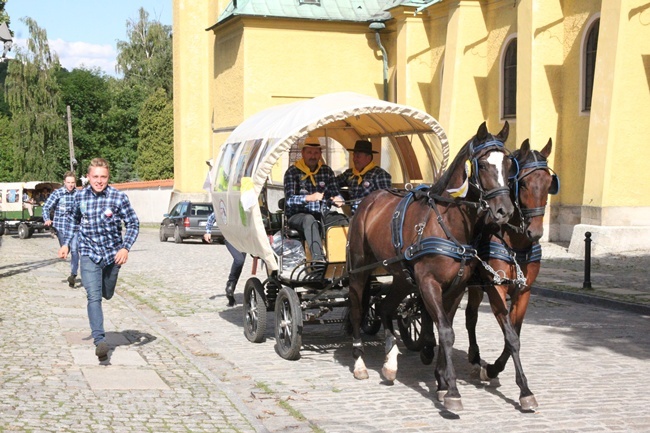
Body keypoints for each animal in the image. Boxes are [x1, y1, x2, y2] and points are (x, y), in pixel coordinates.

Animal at [346, 120, 512, 408]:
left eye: (508, 164)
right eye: (483, 164)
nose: (505, 210)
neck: (448, 223)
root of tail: (368, 200)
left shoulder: (456, 288)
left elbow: (447, 328)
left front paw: (442, 383)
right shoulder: (428, 283)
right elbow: (444, 331)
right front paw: (452, 390)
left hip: (402, 276)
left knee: (385, 307)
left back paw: (390, 362)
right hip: (359, 268)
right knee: (357, 307)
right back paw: (359, 362)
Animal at [460, 138, 556, 408]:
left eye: (548, 183)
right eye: (521, 183)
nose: (535, 232)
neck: (515, 244)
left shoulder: (523, 291)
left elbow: (514, 334)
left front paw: (494, 368)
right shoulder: (496, 288)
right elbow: (511, 337)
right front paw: (524, 390)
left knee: (471, 316)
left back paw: (475, 360)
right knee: (469, 317)